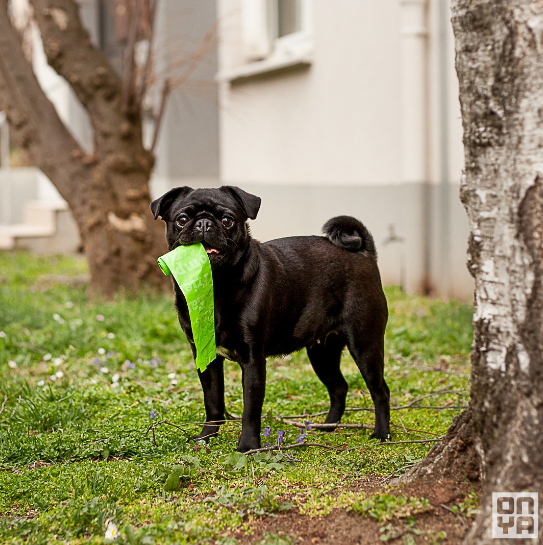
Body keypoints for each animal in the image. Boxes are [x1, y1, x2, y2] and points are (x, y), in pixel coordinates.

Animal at [151, 186, 388, 450]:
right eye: (182, 220)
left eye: (227, 220)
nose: (204, 223)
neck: (216, 286)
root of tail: (364, 253)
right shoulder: (206, 358)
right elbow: (212, 402)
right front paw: (206, 437)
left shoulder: (253, 360)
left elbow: (251, 408)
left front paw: (248, 446)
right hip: (321, 353)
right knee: (339, 388)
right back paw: (328, 427)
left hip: (364, 344)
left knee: (380, 391)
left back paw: (382, 434)